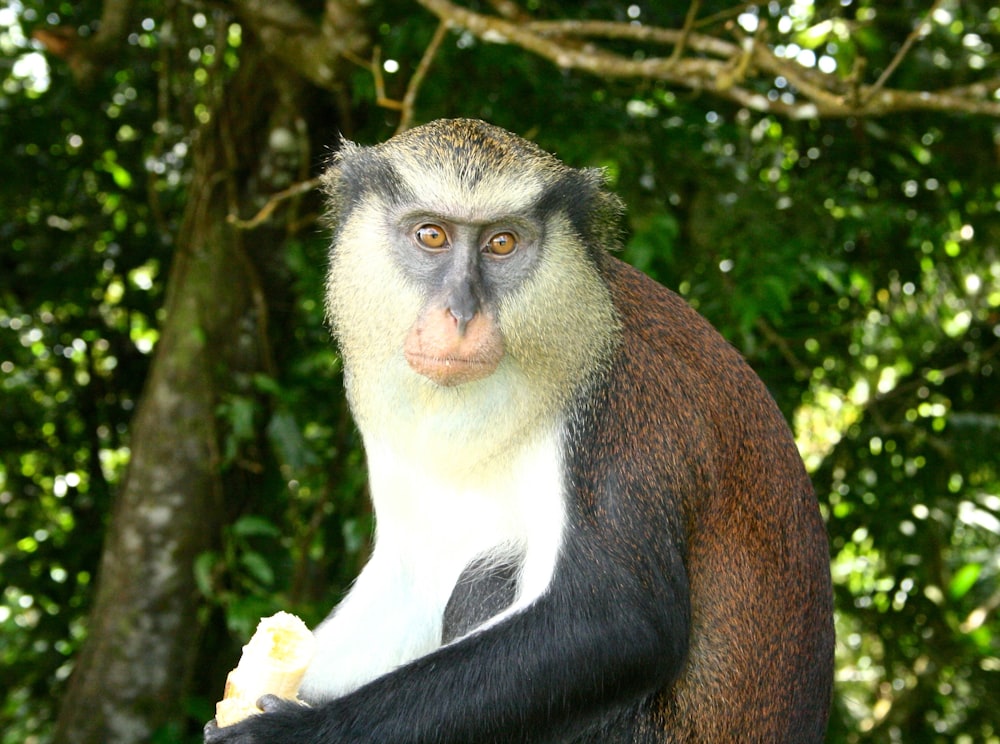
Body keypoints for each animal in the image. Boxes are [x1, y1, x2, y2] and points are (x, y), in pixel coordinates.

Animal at [205, 119, 836, 740]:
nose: (461, 314)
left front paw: (289, 733)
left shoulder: (624, 407)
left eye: (501, 243)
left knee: (489, 579)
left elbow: (616, 619)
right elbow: (412, 578)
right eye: (431, 235)